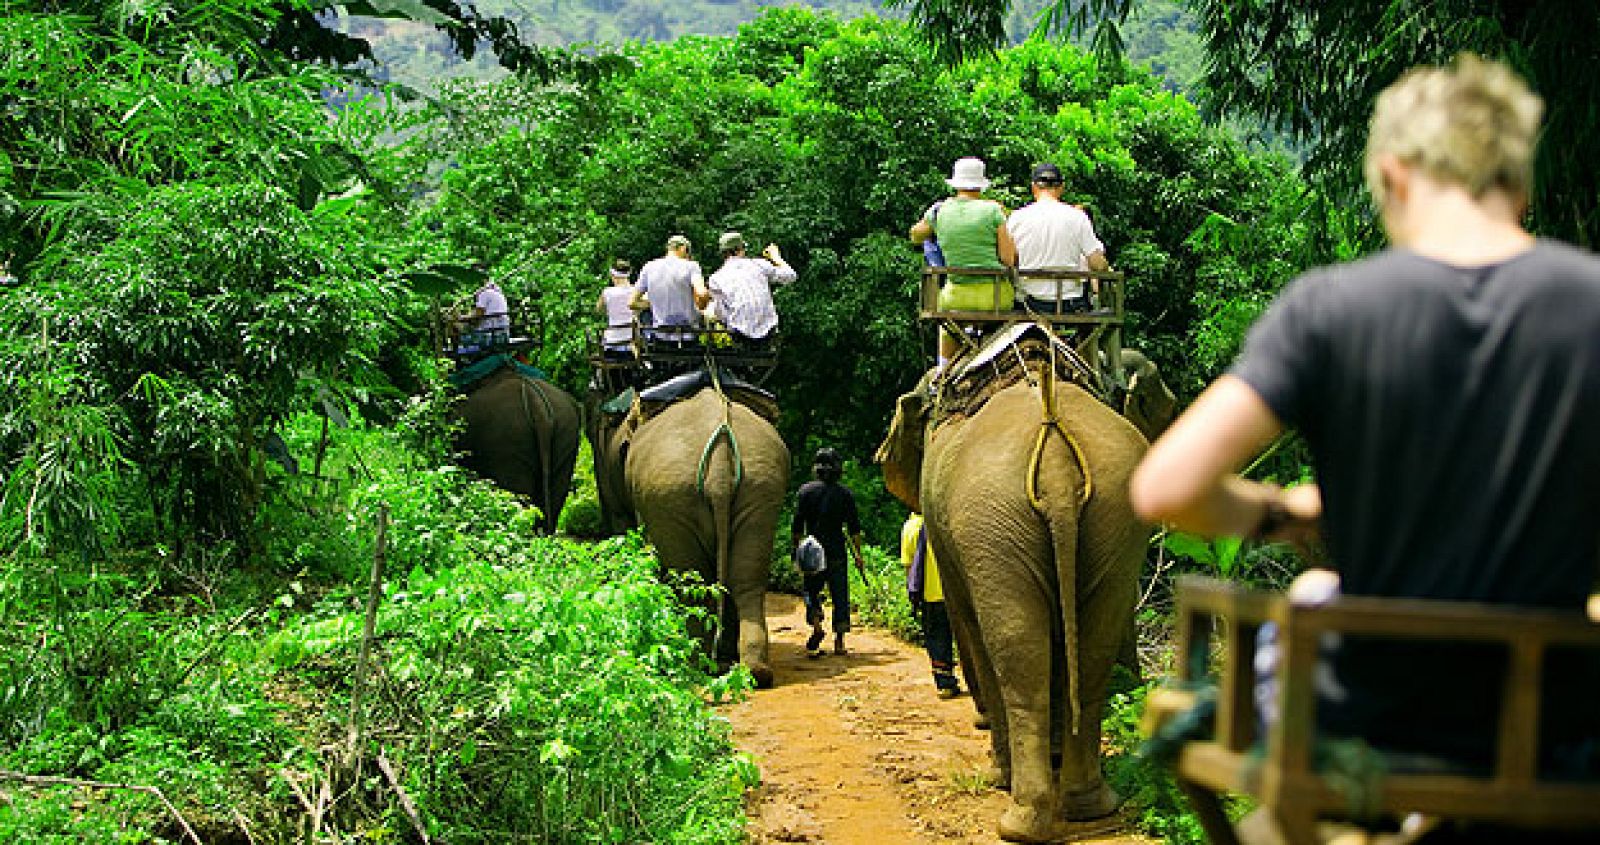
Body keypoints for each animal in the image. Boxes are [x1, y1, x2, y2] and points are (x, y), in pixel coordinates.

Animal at [588, 372, 787, 691]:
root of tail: (719, 460)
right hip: (762, 487)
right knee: (746, 579)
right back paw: (753, 671)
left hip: (669, 496)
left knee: (691, 582)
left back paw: (695, 663)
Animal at [876, 332, 1177, 838]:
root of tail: (1054, 455)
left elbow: (966, 622)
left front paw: (1000, 768)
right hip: (1113, 515)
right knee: (1090, 650)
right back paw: (1087, 804)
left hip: (990, 523)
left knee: (1015, 652)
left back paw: (1019, 816)